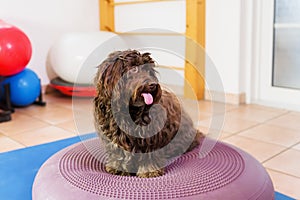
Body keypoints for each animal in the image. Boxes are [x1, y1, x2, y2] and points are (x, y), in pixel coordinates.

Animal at [92, 49, 203, 177]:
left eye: (148, 70)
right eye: (134, 69)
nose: (152, 85)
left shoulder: (150, 136)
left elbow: (148, 155)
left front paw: (149, 171)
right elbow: (118, 152)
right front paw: (118, 167)